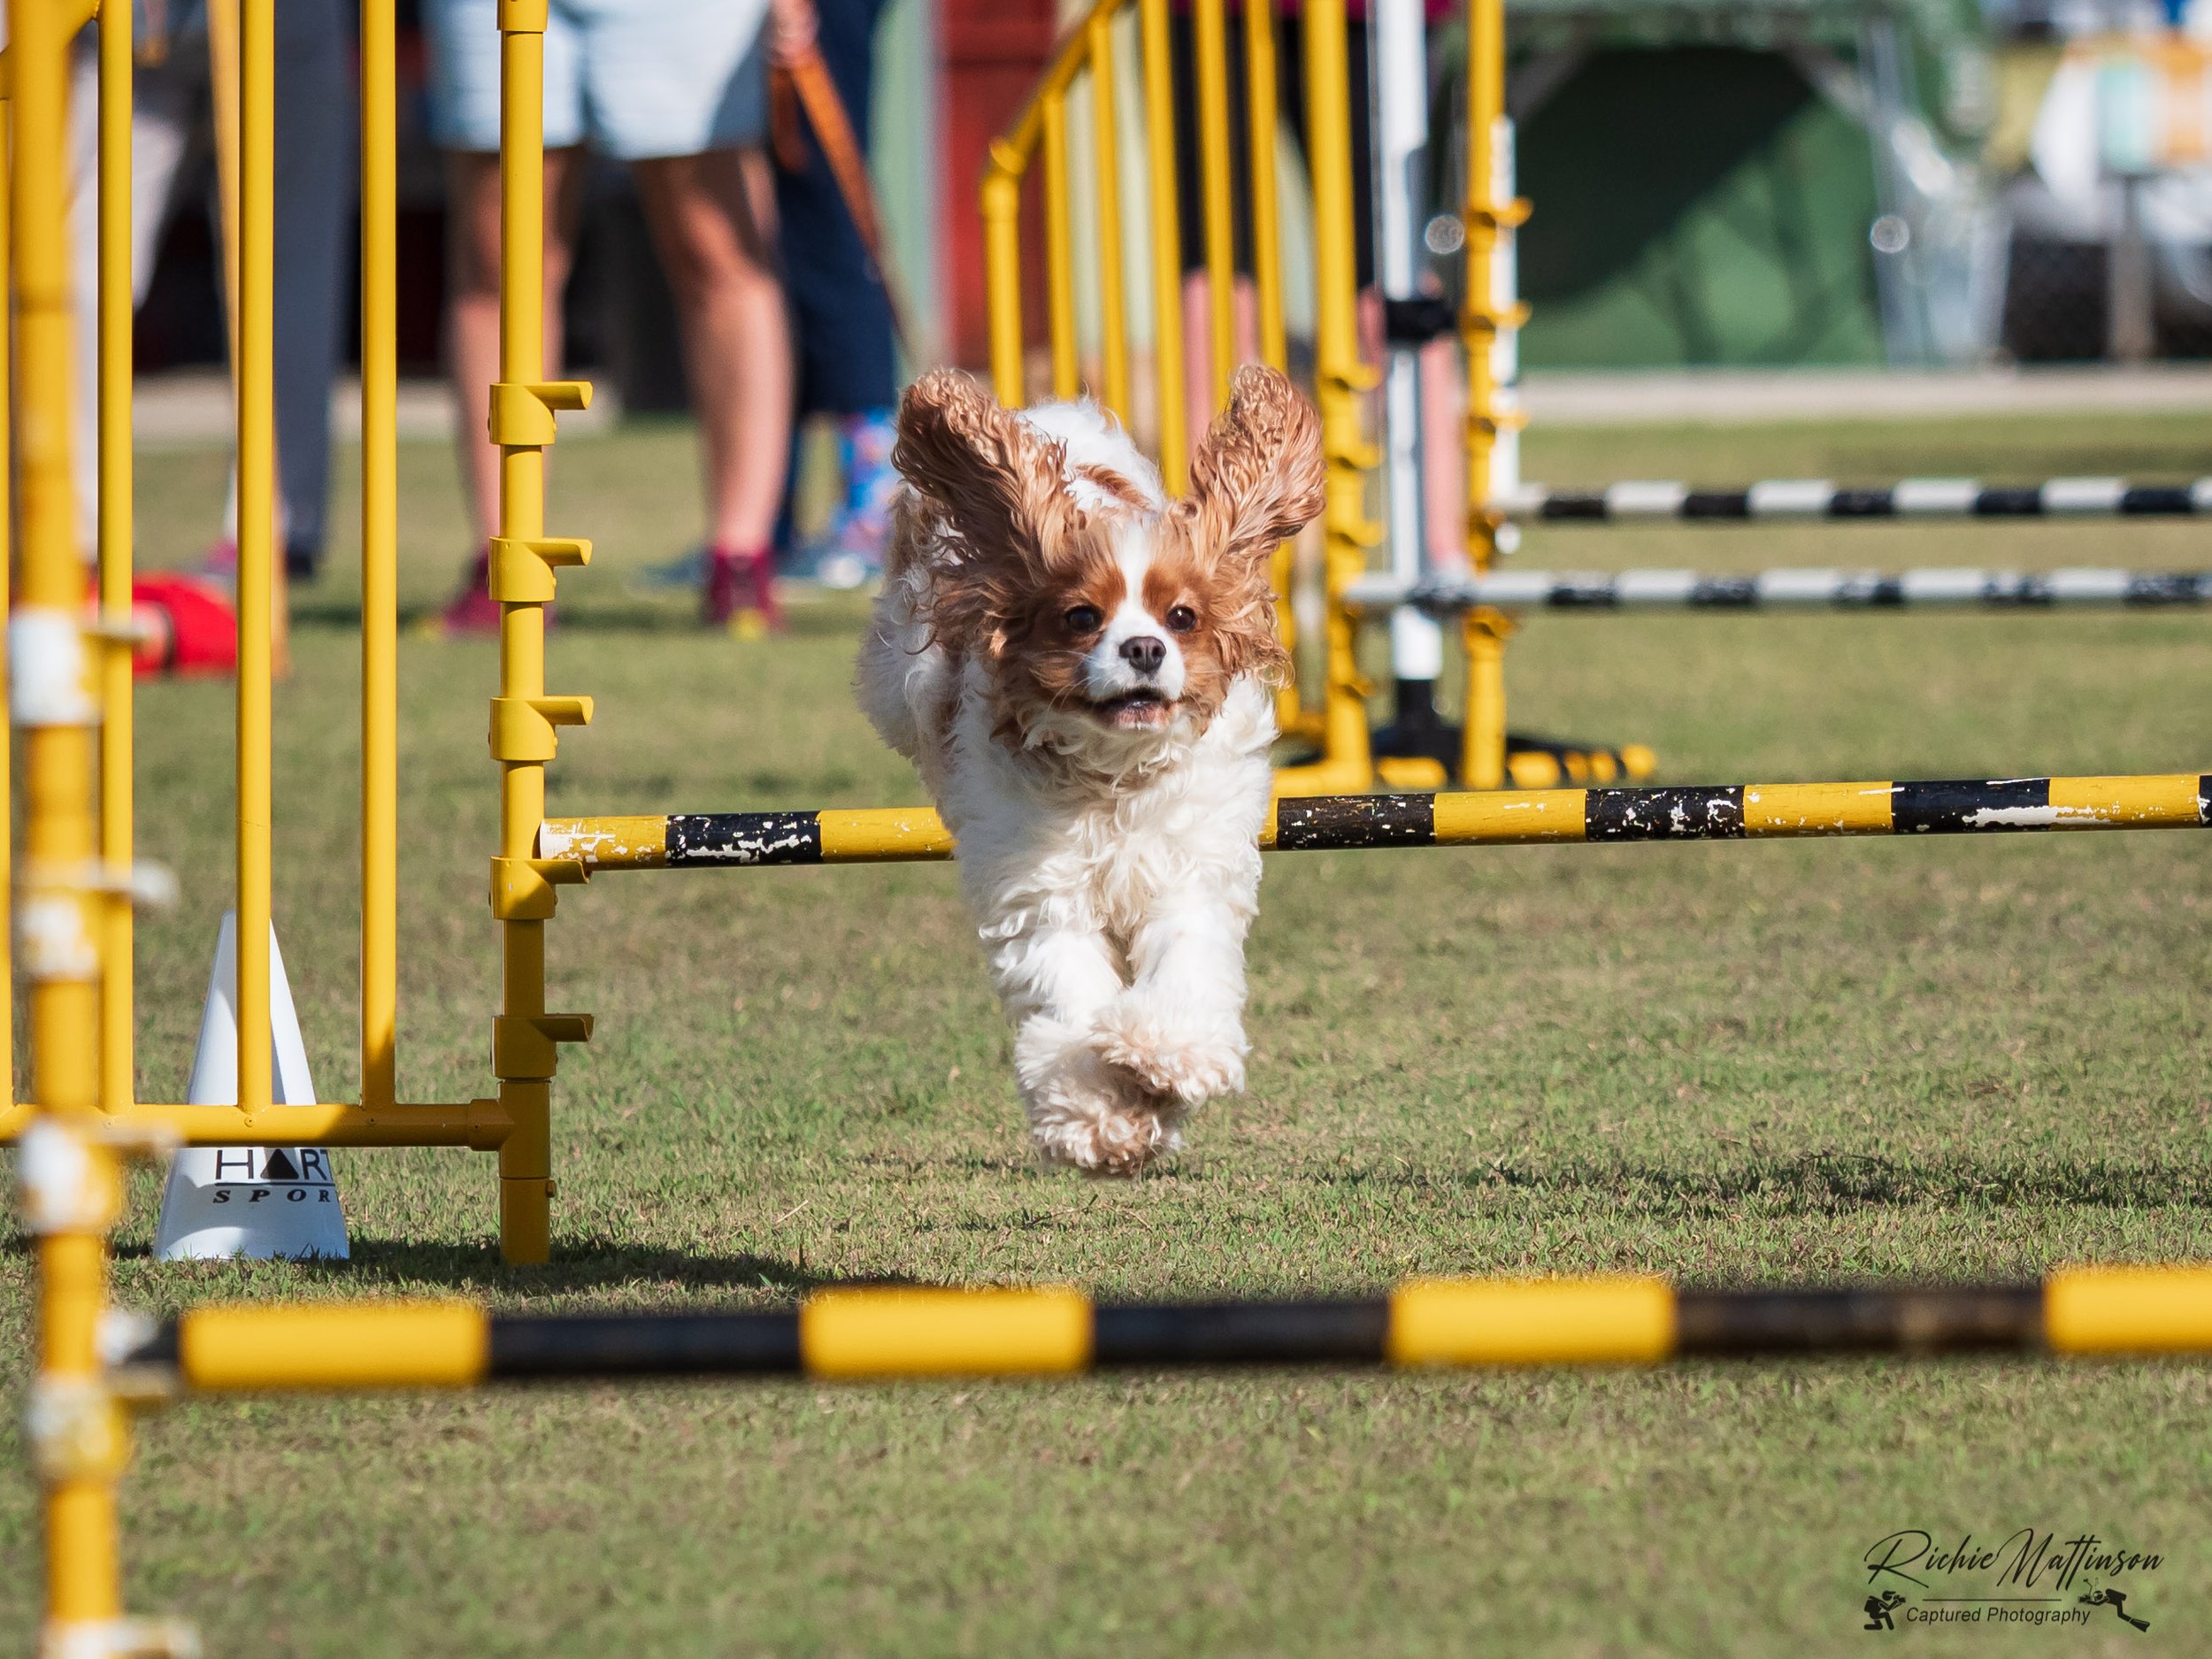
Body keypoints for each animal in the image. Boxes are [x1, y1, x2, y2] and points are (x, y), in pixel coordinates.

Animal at [856, 365, 1325, 1174]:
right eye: (1082, 617)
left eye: (1181, 617)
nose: (1143, 649)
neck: (1113, 779)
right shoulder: (1040, 890)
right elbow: (1067, 996)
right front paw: (1104, 1117)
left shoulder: (1188, 866)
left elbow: (1185, 965)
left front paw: (1162, 1056)